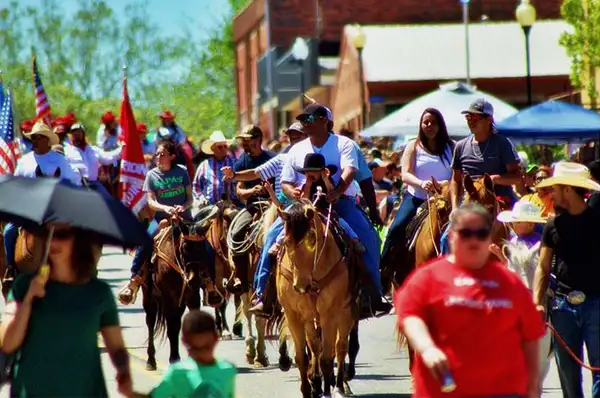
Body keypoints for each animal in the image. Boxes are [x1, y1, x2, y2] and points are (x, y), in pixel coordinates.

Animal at [143, 211, 220, 370]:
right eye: (185, 246)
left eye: (203, 246)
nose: (195, 278)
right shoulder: (168, 297)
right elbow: (171, 328)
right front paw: (174, 359)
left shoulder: (191, 295)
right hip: (148, 297)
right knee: (151, 321)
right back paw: (150, 360)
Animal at [274, 201, 360, 398]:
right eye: (287, 242)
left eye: (312, 239)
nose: (301, 285)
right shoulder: (294, 315)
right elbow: (302, 357)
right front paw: (308, 390)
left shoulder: (330, 314)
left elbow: (327, 358)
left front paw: (327, 390)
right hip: (310, 318)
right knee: (315, 347)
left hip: (345, 314)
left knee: (340, 347)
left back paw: (339, 386)